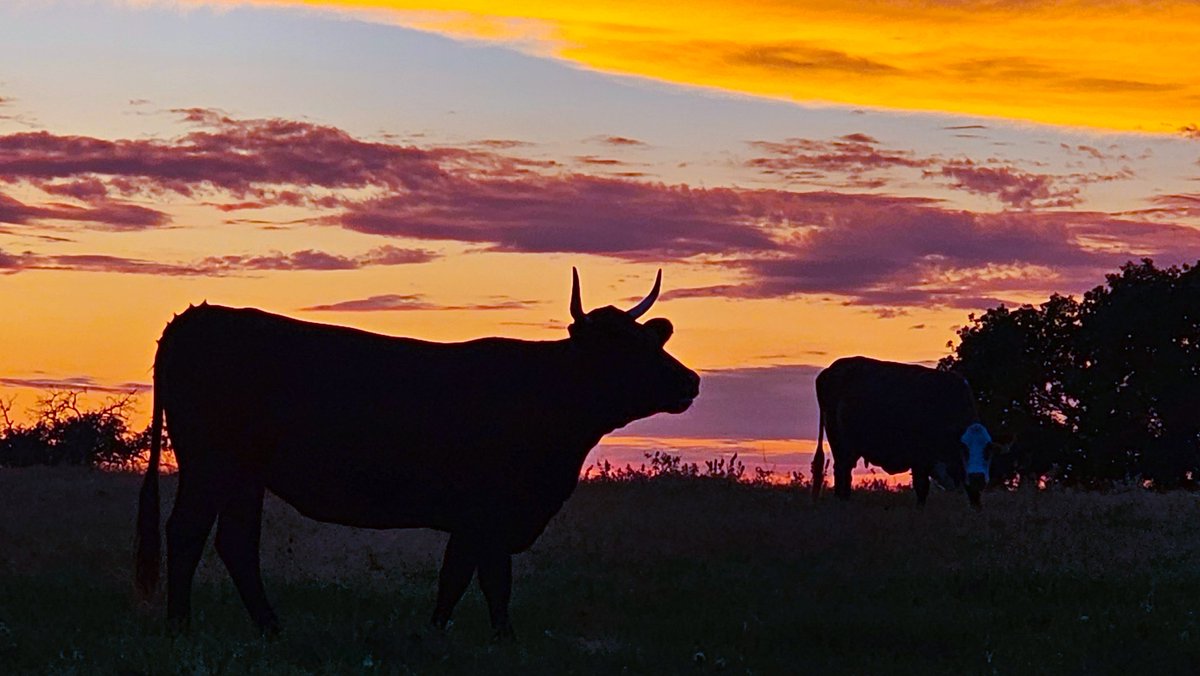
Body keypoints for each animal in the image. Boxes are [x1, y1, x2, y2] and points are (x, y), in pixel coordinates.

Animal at [134, 269, 700, 639]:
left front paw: (434, 636)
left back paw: (272, 629)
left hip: (243, 476)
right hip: (210, 465)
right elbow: (494, 582)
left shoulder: (472, 521)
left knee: (235, 543)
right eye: (622, 349)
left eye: (650, 342)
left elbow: (453, 579)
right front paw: (504, 642)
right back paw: (181, 628)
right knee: (186, 533)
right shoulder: (490, 513)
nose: (691, 381)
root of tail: (196, 317)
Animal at [809, 356, 999, 509]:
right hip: (840, 443)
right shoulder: (920, 459)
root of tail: (829, 371)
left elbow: (972, 493)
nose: (977, 477)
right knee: (842, 471)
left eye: (989, 449)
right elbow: (922, 488)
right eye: (964, 448)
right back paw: (842, 501)